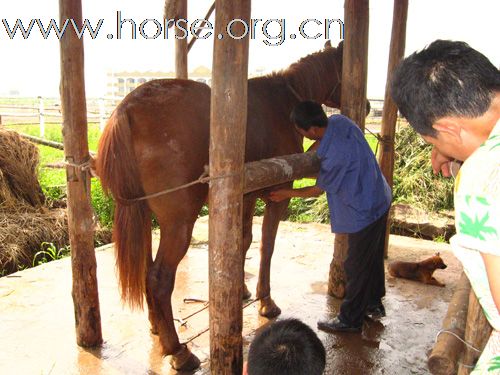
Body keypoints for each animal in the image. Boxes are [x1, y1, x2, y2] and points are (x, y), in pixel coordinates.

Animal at [95, 40, 358, 370]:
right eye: (344, 69)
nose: (367, 106)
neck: (283, 101)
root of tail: (127, 109)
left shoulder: (245, 196)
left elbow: (243, 242)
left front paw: (241, 290)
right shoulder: (276, 195)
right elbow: (266, 246)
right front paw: (265, 301)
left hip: (141, 215)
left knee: (146, 270)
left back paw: (158, 327)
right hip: (179, 223)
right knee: (158, 279)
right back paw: (178, 351)